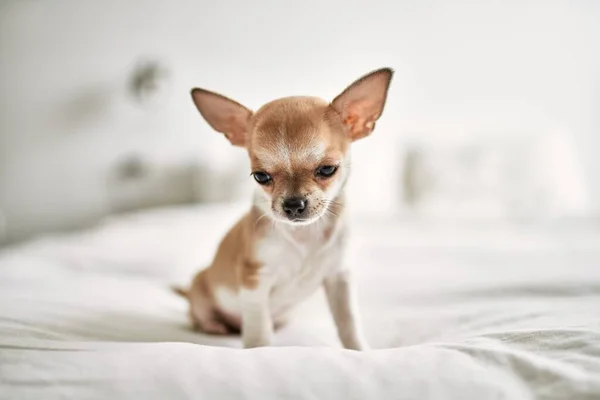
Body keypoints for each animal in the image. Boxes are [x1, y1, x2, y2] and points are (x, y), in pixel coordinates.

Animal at [175, 67, 394, 348]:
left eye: (327, 170)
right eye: (261, 177)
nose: (293, 205)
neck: (305, 235)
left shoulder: (339, 278)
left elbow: (348, 322)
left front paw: (358, 350)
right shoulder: (255, 280)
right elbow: (258, 330)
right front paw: (258, 351)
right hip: (200, 289)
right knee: (199, 314)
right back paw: (214, 326)